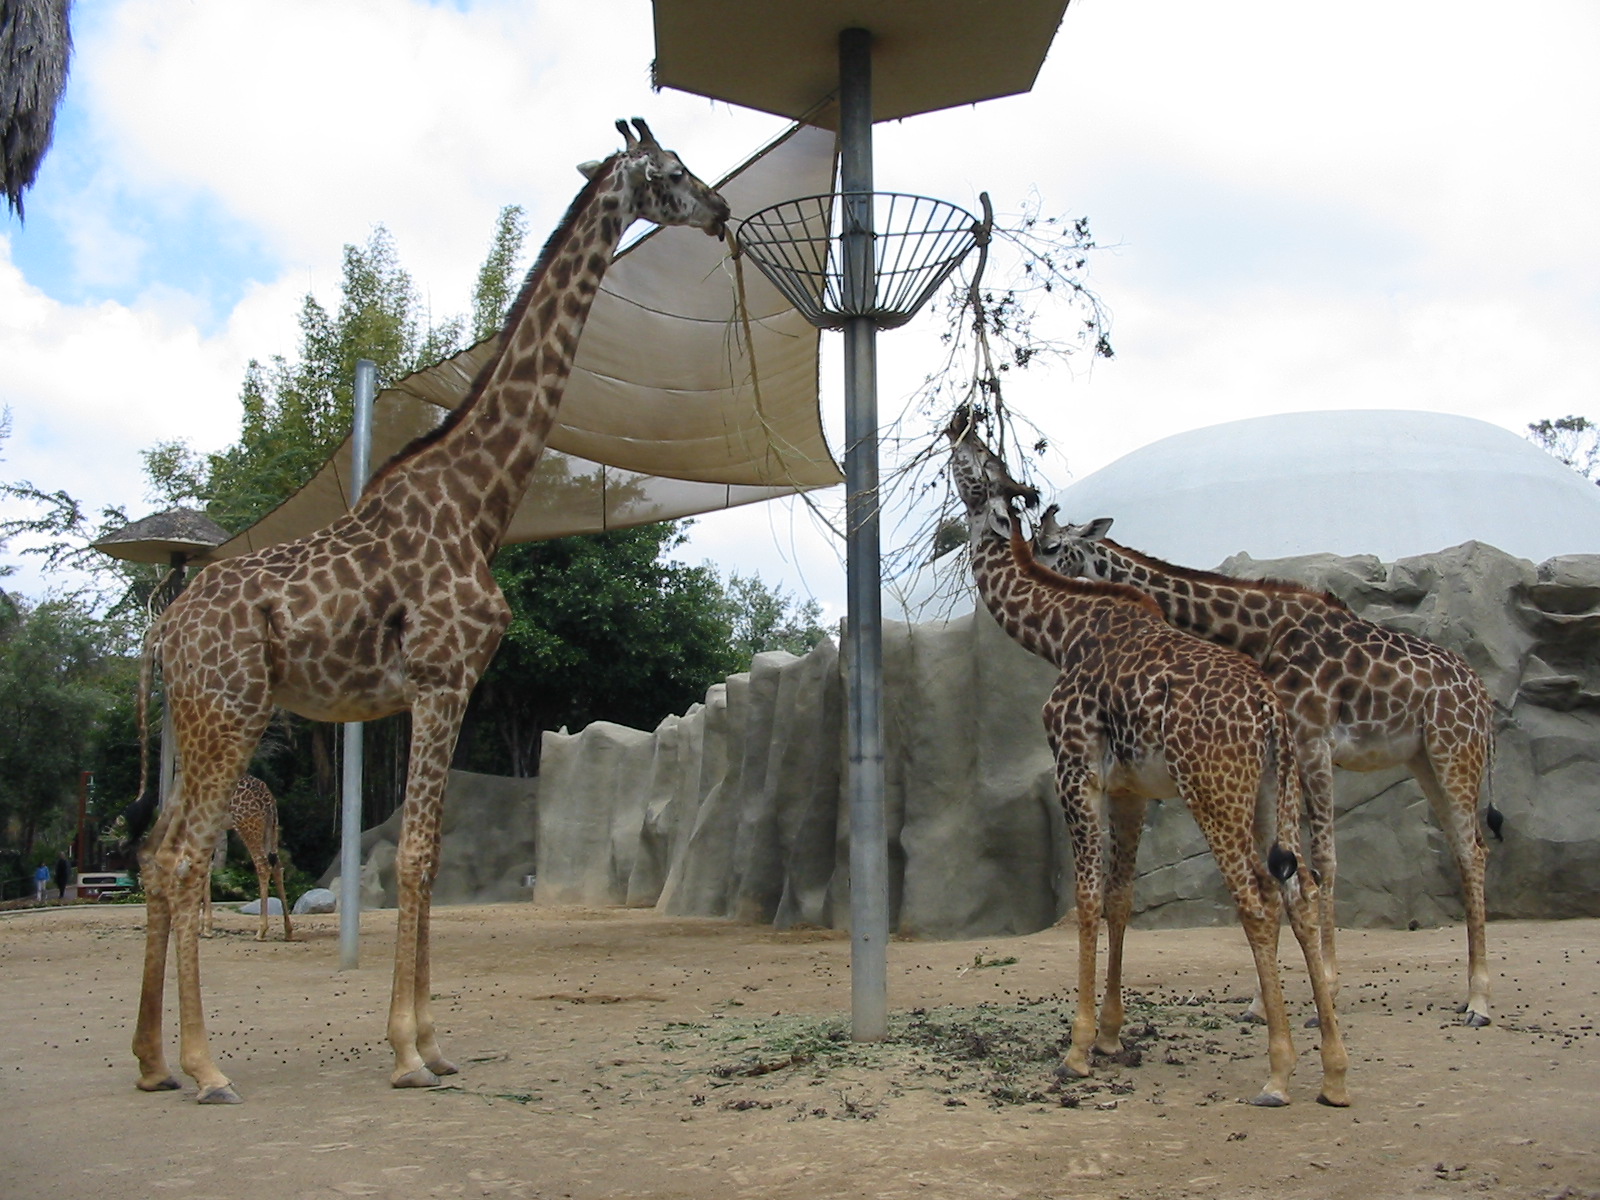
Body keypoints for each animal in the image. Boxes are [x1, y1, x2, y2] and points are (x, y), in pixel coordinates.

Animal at [201, 776, 294, 943]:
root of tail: (269, 800)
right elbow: (206, 868)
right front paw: (206, 928)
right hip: (271, 827)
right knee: (277, 867)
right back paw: (288, 931)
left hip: (248, 826)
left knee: (263, 865)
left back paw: (261, 931)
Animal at [946, 415, 1349, 1106]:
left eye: (981, 463)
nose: (960, 423)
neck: (1062, 634)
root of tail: (1269, 715)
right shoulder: (1130, 790)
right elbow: (1120, 899)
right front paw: (1112, 1037)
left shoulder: (1075, 768)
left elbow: (1084, 898)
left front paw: (1078, 1050)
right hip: (1273, 793)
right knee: (1299, 890)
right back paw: (1335, 1074)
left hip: (1214, 792)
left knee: (1256, 899)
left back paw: (1277, 1073)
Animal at [1032, 509, 1497, 1026]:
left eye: (1053, 547)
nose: (1033, 573)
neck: (1259, 633)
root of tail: (1482, 696)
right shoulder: (1283, 752)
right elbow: (1279, 864)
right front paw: (1261, 1002)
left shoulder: (1311, 739)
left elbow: (1323, 860)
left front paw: (1326, 989)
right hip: (1424, 759)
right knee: (1466, 847)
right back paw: (1471, 993)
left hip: (1454, 748)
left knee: (1472, 849)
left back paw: (1479, 1001)